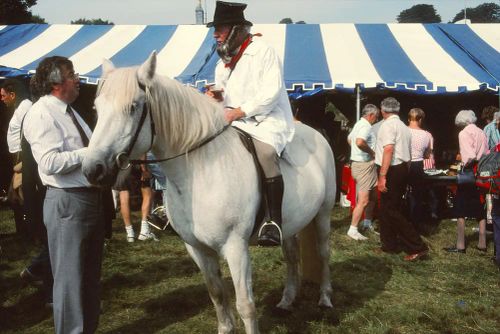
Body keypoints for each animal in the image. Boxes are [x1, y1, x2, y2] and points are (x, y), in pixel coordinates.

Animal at [83, 52, 336, 334]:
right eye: (96, 108)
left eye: (133, 107)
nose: (93, 170)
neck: (200, 173)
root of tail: (314, 132)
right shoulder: (197, 249)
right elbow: (217, 295)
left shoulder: (236, 248)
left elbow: (245, 305)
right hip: (290, 222)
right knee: (291, 256)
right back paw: (287, 300)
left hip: (323, 213)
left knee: (323, 252)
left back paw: (325, 298)